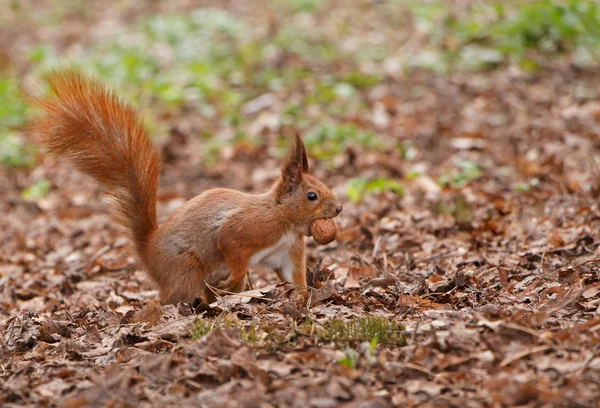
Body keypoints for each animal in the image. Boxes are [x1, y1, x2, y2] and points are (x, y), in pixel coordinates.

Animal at [27, 70, 342, 304]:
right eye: (311, 196)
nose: (339, 208)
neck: (285, 221)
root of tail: (149, 252)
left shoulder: (287, 252)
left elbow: (293, 276)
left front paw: (302, 298)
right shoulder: (247, 229)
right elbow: (231, 247)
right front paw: (237, 278)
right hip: (187, 268)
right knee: (172, 298)